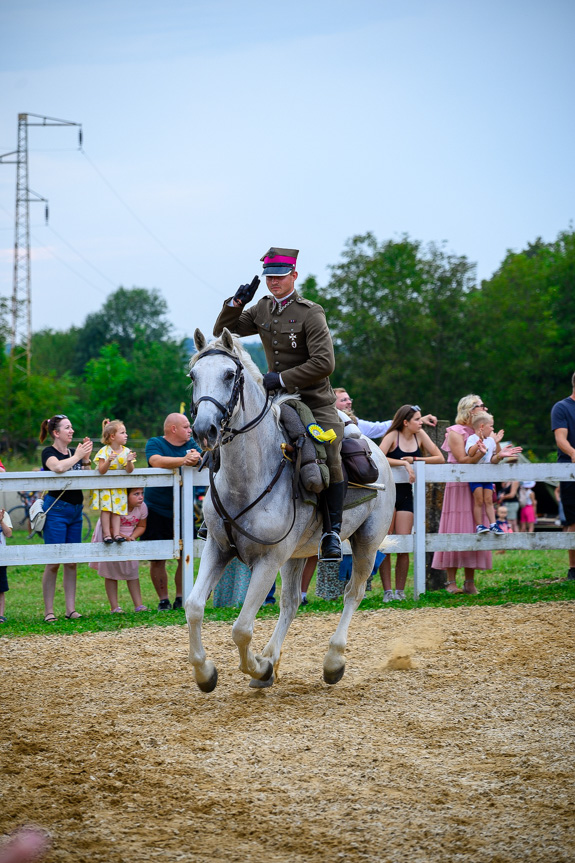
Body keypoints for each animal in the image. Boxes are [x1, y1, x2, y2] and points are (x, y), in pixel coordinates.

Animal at [186, 328, 396, 692]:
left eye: (228, 375)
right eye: (193, 376)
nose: (203, 430)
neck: (248, 477)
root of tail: (377, 449)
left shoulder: (268, 560)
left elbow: (241, 628)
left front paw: (257, 668)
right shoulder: (218, 548)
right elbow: (194, 607)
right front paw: (206, 672)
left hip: (367, 543)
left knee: (352, 594)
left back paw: (332, 661)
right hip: (296, 555)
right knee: (291, 602)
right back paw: (272, 658)